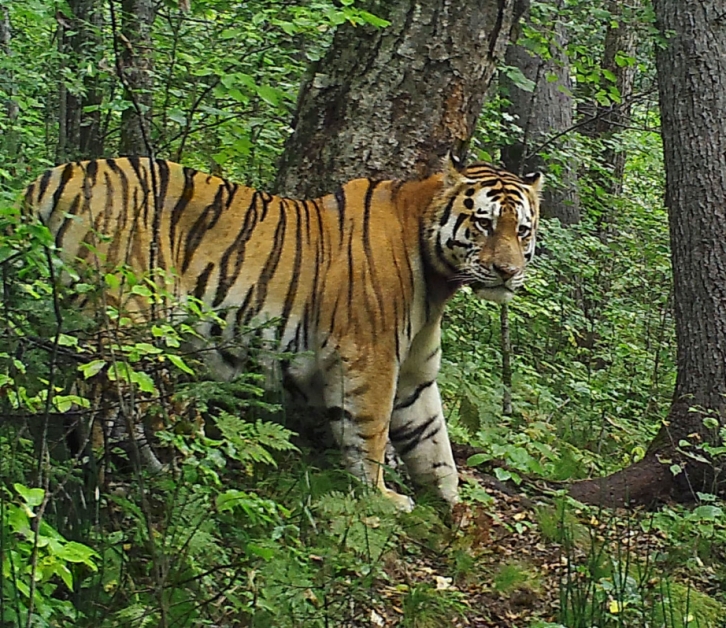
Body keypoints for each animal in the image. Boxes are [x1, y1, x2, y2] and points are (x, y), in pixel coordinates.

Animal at [22, 153, 544, 510]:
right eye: (483, 223)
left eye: (521, 230)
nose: (507, 272)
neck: (439, 282)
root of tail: (46, 179)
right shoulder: (369, 358)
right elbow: (371, 433)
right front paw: (381, 498)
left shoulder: (416, 375)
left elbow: (434, 442)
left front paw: (454, 504)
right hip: (121, 322)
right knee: (90, 407)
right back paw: (96, 488)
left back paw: (155, 473)